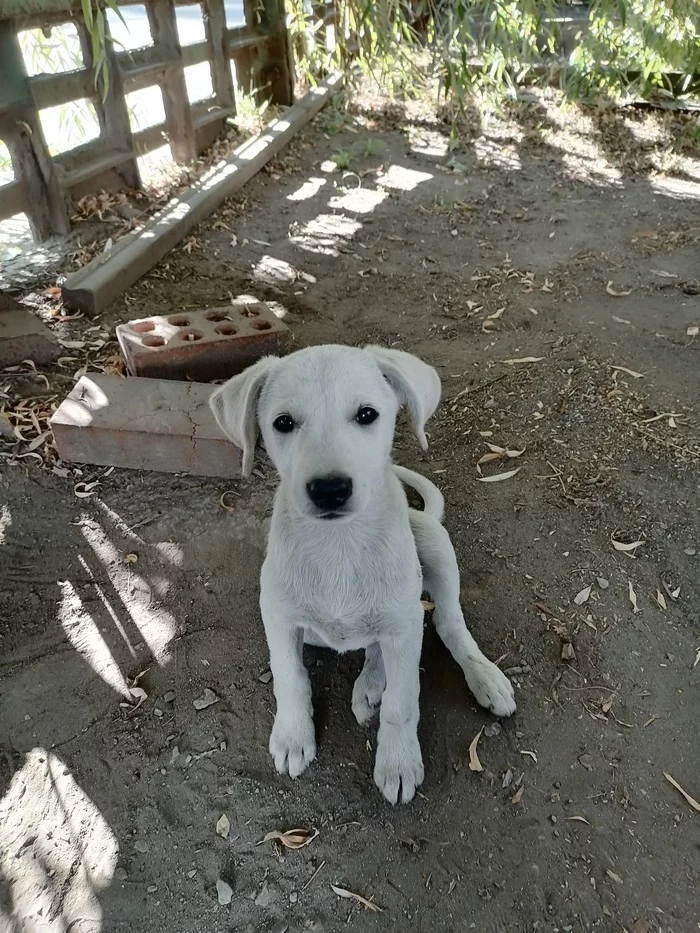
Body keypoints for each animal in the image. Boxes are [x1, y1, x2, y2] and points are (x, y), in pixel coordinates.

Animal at [208, 342, 516, 800]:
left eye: (367, 414)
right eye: (283, 423)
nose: (329, 490)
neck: (339, 545)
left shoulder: (403, 626)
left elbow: (403, 702)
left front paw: (398, 761)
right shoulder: (278, 616)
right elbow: (290, 676)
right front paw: (293, 736)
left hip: (432, 546)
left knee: (445, 624)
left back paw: (482, 678)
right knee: (376, 643)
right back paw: (371, 683)